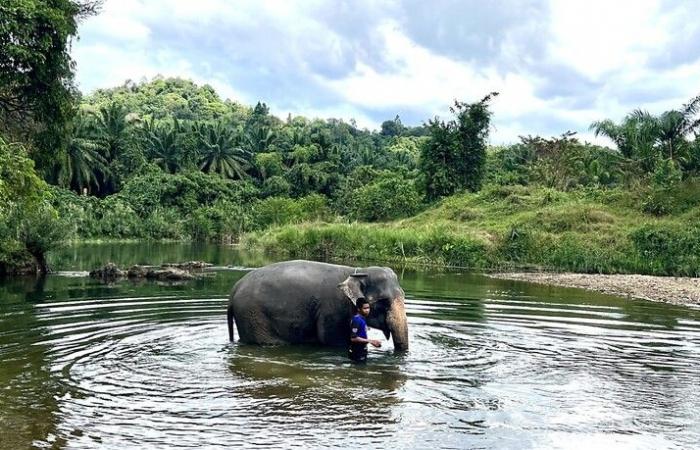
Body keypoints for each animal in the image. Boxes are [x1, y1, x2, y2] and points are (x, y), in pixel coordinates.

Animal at [227, 260, 408, 352]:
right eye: (384, 301)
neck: (356, 272)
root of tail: (234, 289)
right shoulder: (333, 309)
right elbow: (331, 339)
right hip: (253, 316)